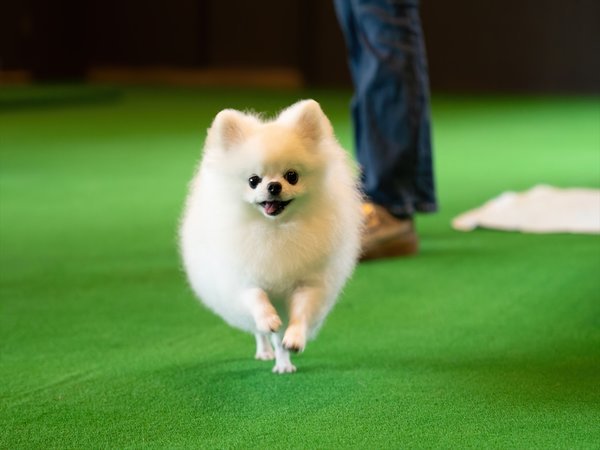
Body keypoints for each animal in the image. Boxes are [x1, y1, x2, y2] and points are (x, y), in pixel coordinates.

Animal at [179, 100, 360, 374]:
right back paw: (265, 351)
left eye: (292, 176)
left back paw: (284, 363)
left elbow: (302, 312)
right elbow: (256, 297)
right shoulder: (243, 279)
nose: (274, 186)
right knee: (262, 333)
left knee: (279, 340)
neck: (276, 230)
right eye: (253, 180)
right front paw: (267, 318)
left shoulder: (308, 282)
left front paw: (295, 338)